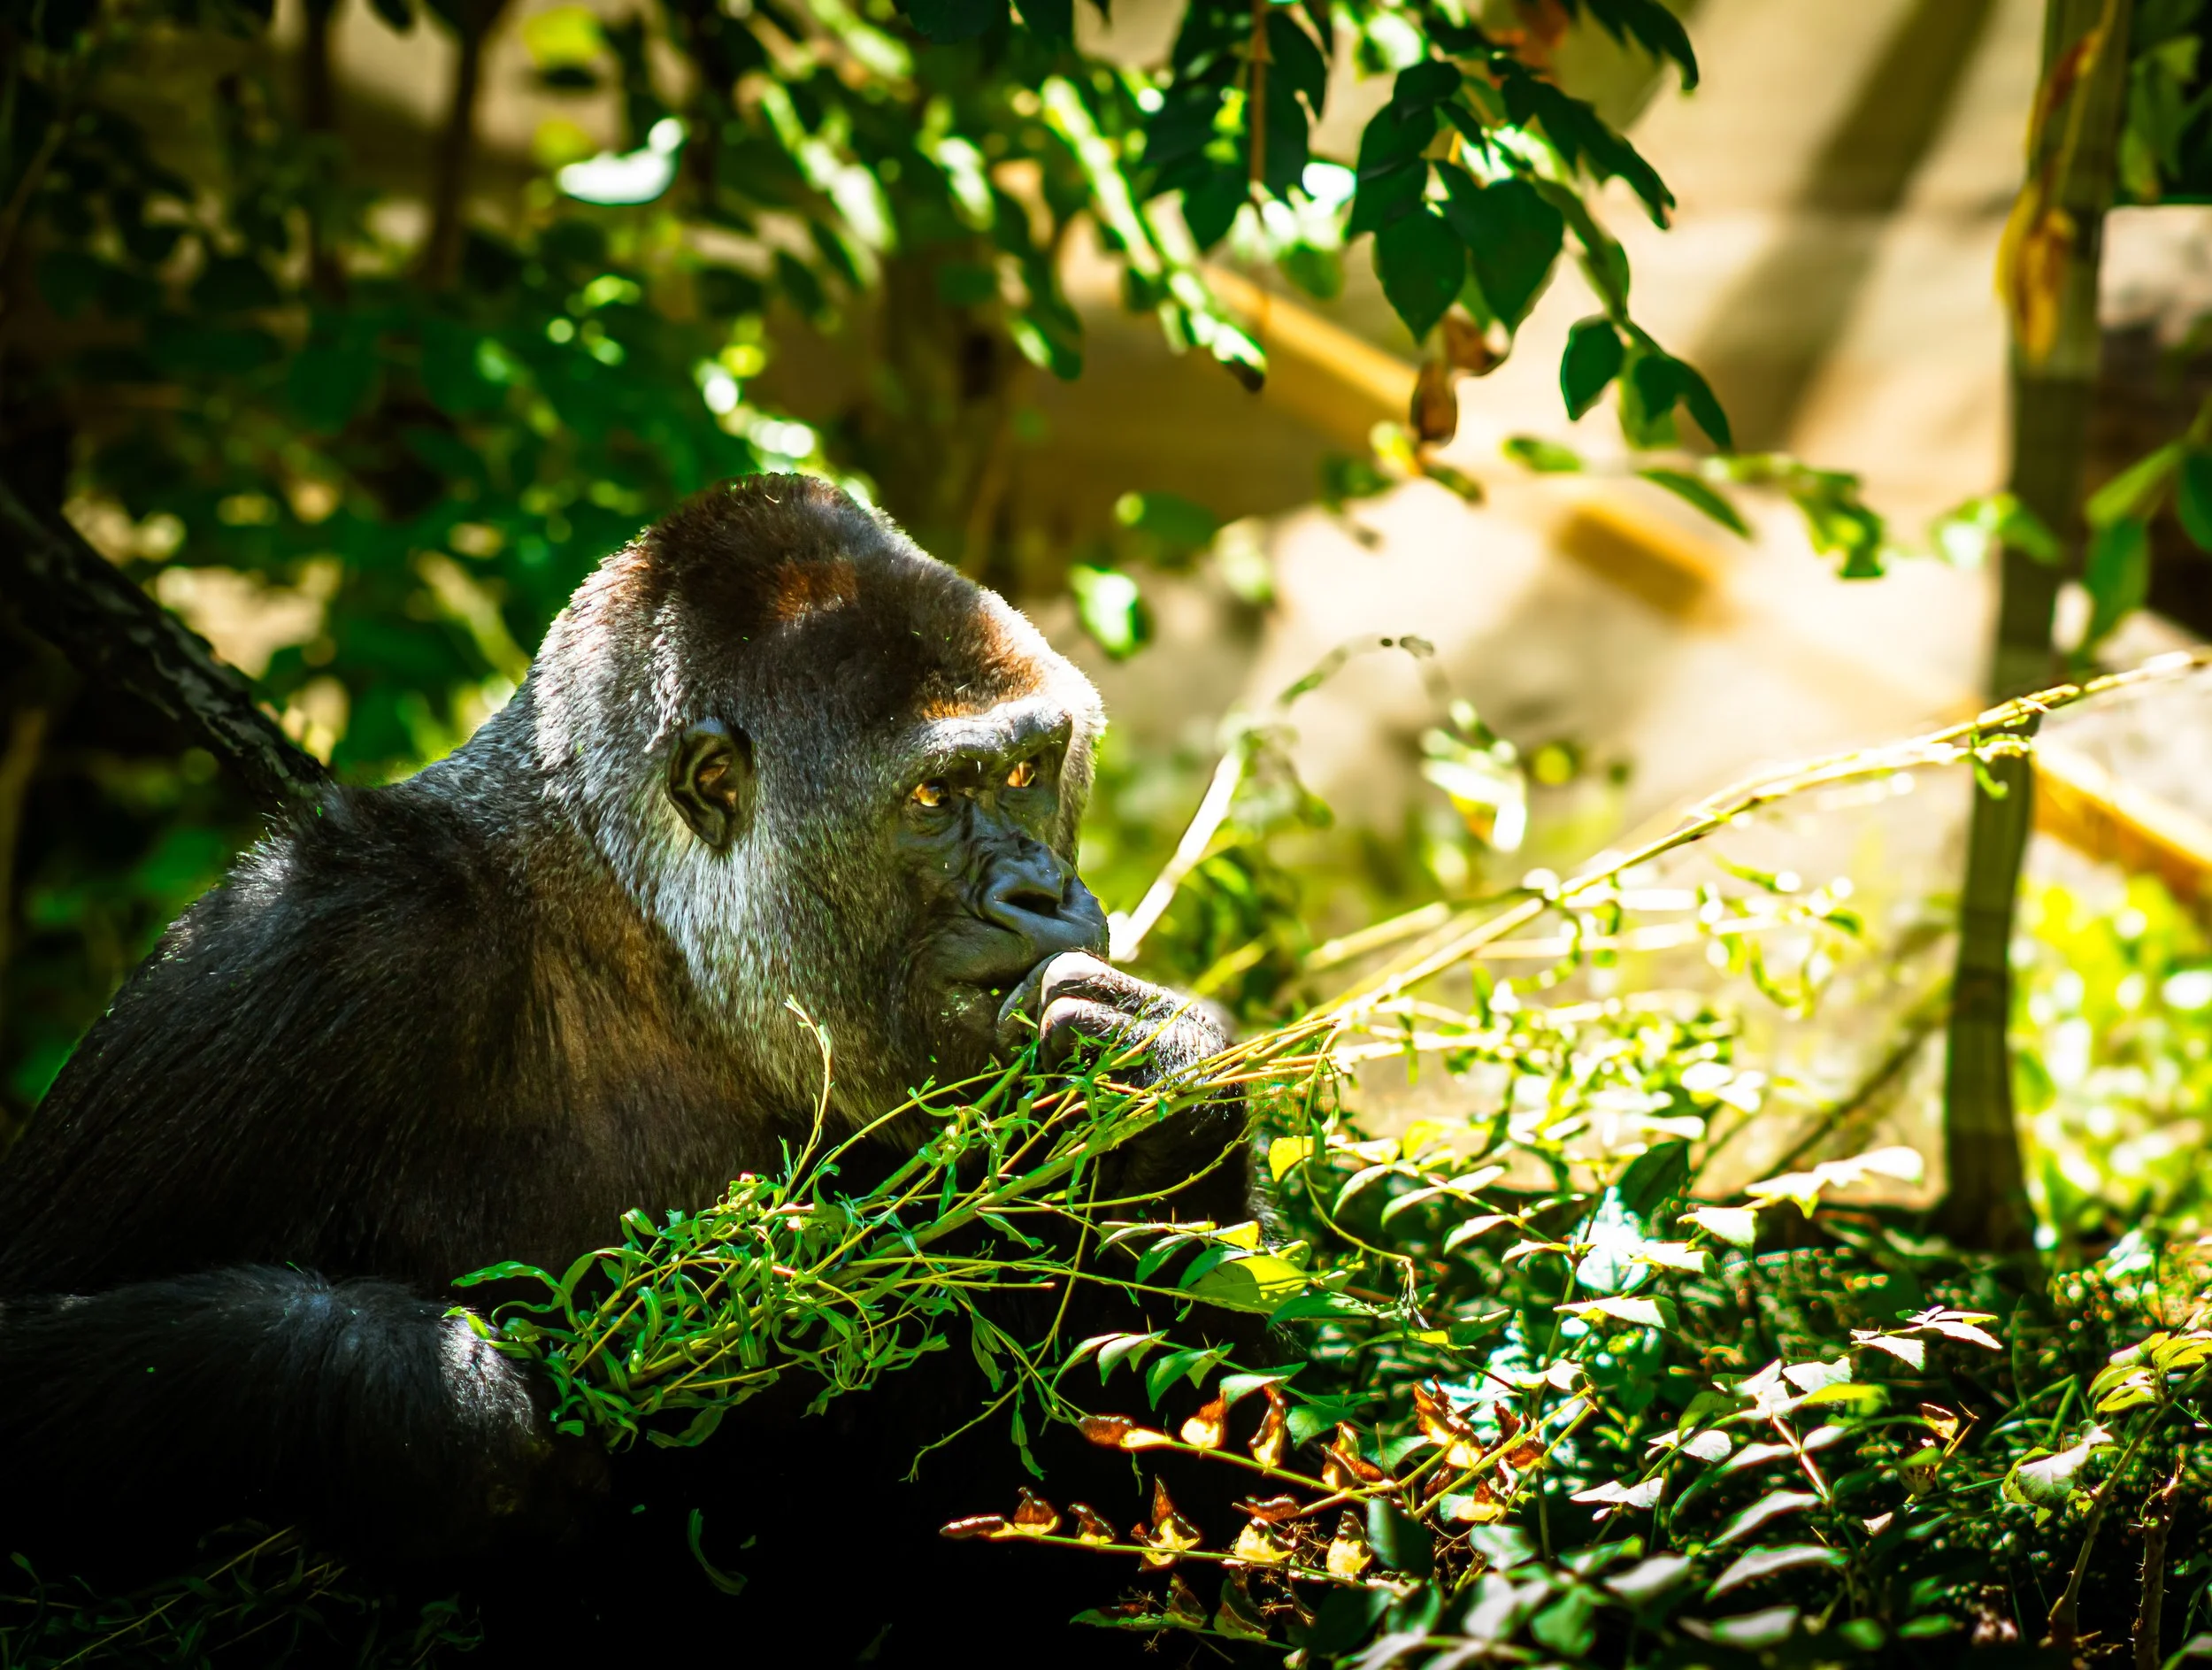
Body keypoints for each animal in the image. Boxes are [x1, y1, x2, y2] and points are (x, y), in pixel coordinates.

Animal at [0, 475, 1257, 1659]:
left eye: (1030, 771)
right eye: (935, 797)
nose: (1044, 895)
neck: (639, 928)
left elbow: (1162, 1525)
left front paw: (1167, 1094)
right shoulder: (321, 934)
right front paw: (409, 1405)